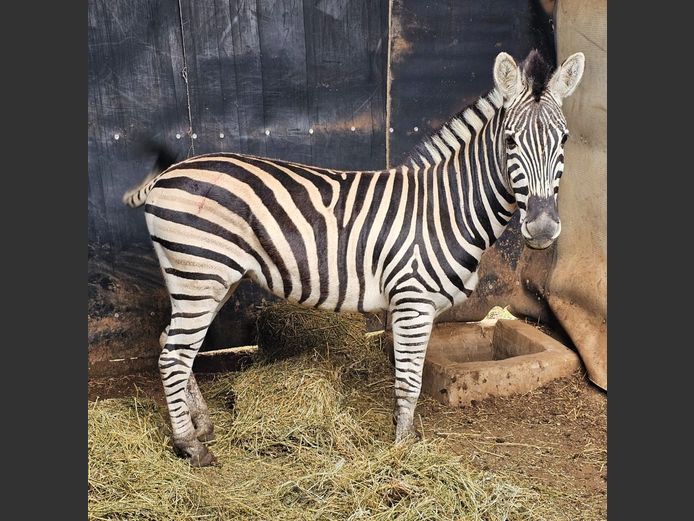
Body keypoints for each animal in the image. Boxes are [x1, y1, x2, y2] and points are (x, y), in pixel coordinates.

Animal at [122, 49, 585, 466]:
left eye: (563, 140)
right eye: (510, 141)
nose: (543, 229)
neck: (444, 209)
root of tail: (168, 174)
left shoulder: (417, 306)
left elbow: (410, 378)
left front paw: (405, 437)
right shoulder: (412, 301)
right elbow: (409, 382)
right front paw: (401, 452)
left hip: (210, 278)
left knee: (171, 344)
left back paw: (201, 425)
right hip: (198, 275)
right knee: (173, 355)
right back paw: (190, 446)